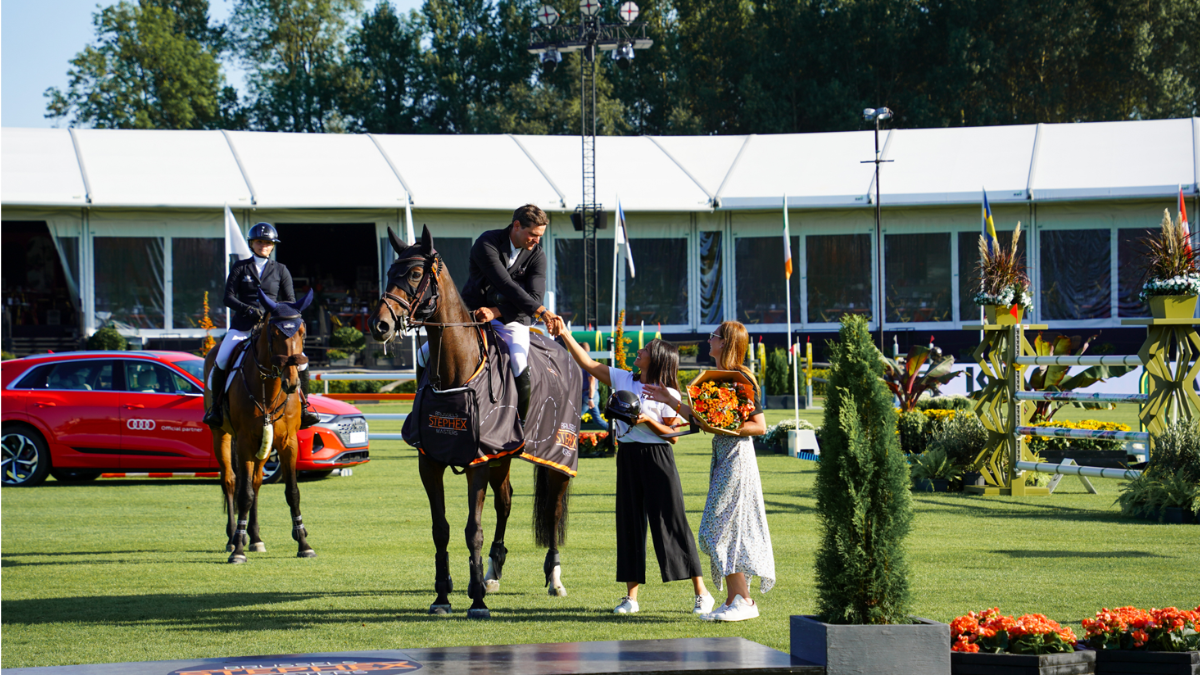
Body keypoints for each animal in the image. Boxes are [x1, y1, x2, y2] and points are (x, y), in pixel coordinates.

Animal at [206, 285, 319, 559]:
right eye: (275, 333)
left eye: (302, 332)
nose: (292, 383)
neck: (269, 385)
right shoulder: (245, 441)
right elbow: (243, 493)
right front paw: (237, 550)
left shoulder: (287, 442)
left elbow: (292, 493)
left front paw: (303, 544)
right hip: (222, 435)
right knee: (230, 480)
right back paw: (233, 537)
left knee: (256, 482)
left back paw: (255, 537)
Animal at [364, 224, 571, 614]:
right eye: (389, 272)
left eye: (415, 273)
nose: (379, 325)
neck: (455, 371)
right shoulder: (431, 463)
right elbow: (440, 528)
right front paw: (443, 595)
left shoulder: (477, 462)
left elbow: (472, 529)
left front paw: (476, 600)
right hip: (502, 458)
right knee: (505, 502)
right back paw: (493, 570)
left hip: (556, 455)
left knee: (551, 510)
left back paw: (553, 577)